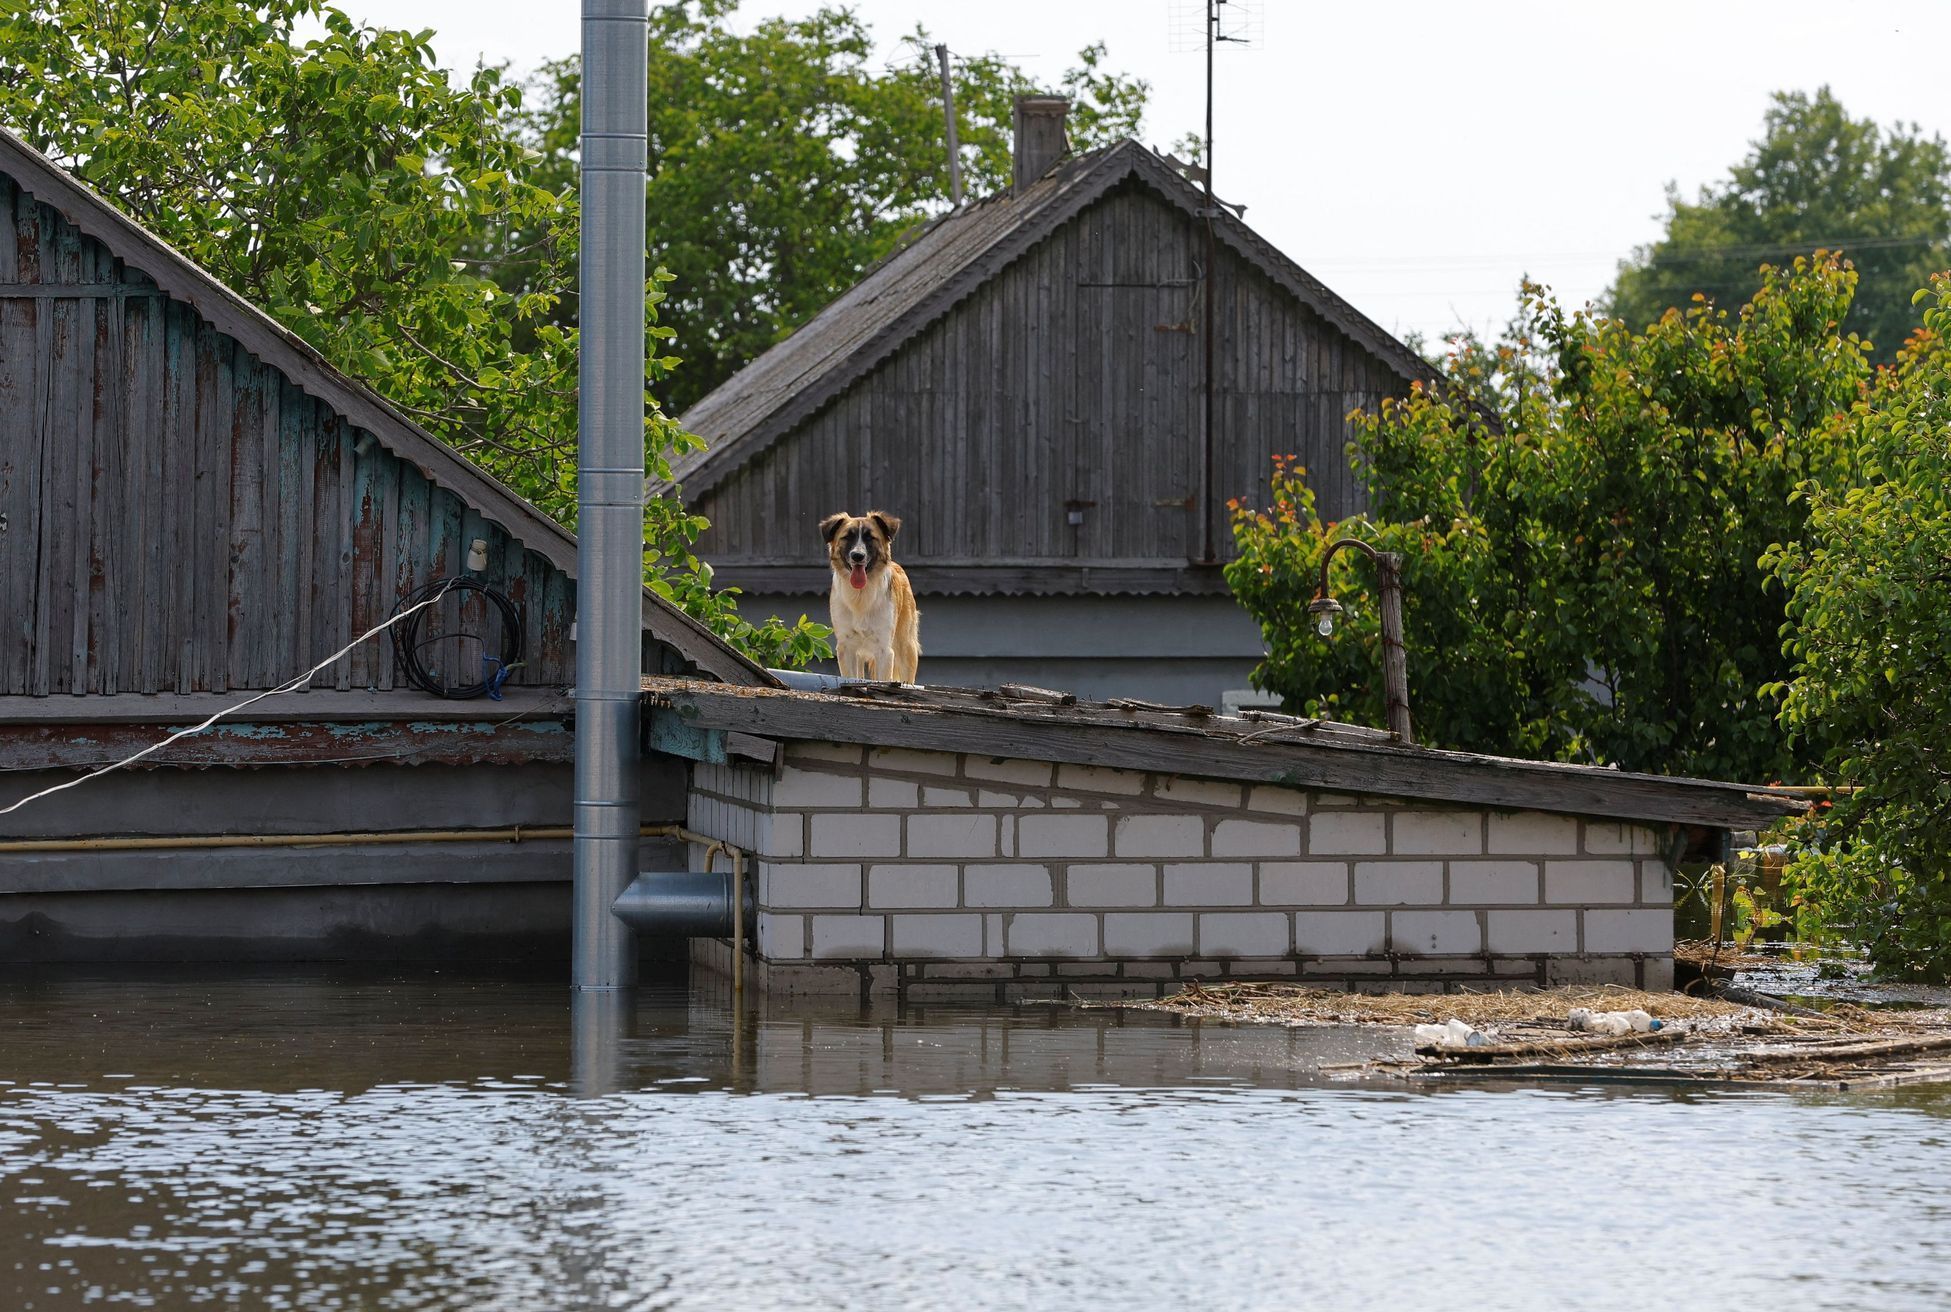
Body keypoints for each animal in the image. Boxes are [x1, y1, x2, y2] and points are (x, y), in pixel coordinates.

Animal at [819, 507, 916, 683]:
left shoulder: (884, 650)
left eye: (870, 537)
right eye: (847, 537)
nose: (857, 556)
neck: (860, 595)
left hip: (905, 646)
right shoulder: (846, 647)